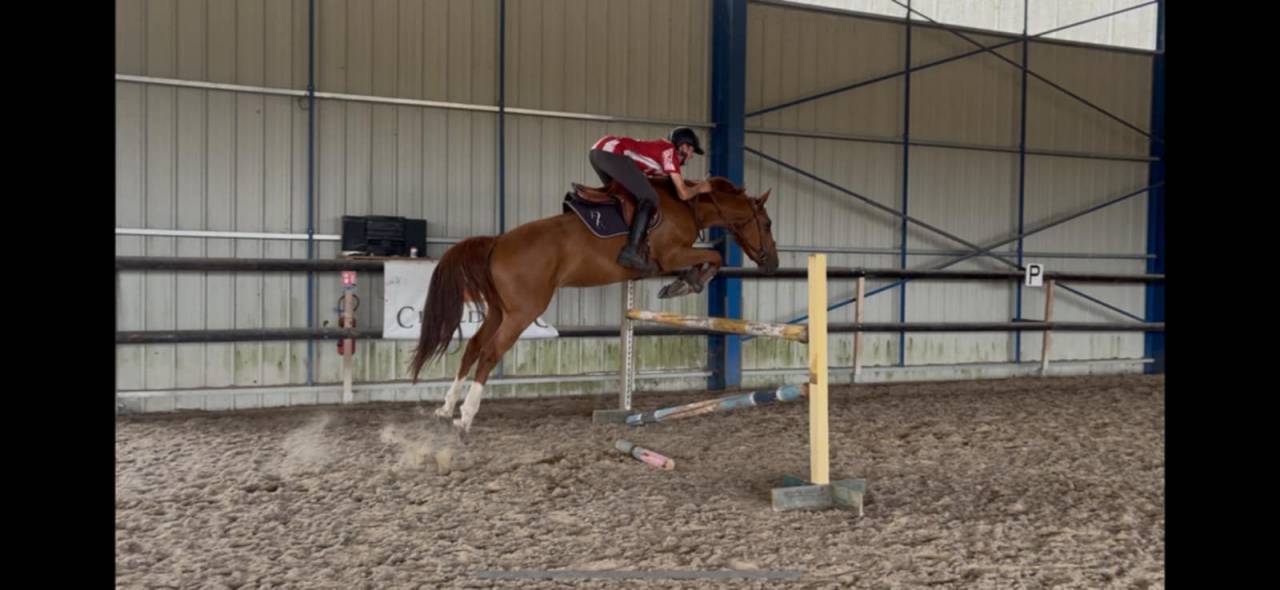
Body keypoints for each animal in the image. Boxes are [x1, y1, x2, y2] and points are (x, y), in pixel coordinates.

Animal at [407, 176, 780, 437]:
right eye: (767, 224)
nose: (772, 264)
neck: (687, 206)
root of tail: (498, 242)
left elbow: (709, 257)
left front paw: (683, 283)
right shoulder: (672, 255)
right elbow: (713, 256)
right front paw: (686, 283)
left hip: (501, 311)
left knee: (473, 347)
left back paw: (446, 408)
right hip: (523, 312)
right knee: (489, 353)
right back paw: (465, 417)